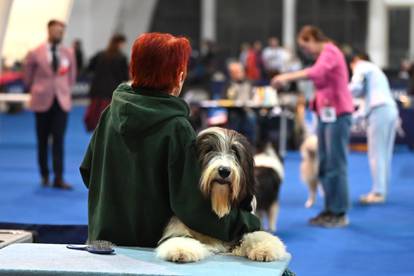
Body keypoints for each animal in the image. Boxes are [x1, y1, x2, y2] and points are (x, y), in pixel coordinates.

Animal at [156, 127, 288, 264]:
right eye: (209, 149)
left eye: (235, 152)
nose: (224, 170)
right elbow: (179, 237)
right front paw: (181, 250)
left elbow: (255, 234)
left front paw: (265, 247)